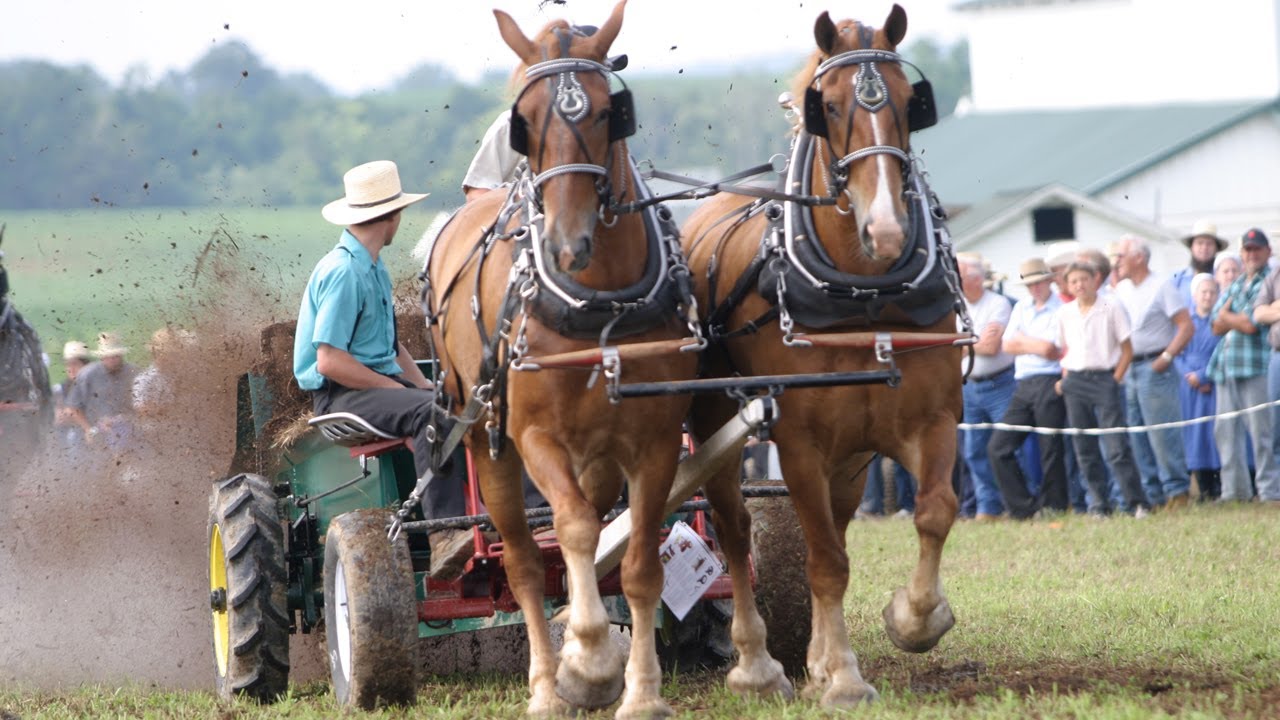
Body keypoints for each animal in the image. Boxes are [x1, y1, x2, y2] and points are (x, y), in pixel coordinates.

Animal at [426, 2, 701, 717]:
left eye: (609, 111)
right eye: (523, 121)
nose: (568, 243)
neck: (596, 300)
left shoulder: (656, 437)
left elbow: (640, 563)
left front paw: (640, 692)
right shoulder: (533, 435)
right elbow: (572, 529)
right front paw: (587, 664)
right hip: (487, 441)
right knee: (523, 562)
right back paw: (547, 686)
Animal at [680, 5, 966, 707]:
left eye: (908, 102)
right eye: (828, 107)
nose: (886, 229)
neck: (862, 293)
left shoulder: (931, 420)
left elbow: (933, 513)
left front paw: (913, 620)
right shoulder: (800, 443)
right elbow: (825, 560)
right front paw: (841, 677)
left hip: (853, 459)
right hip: (715, 424)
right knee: (734, 533)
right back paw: (757, 664)